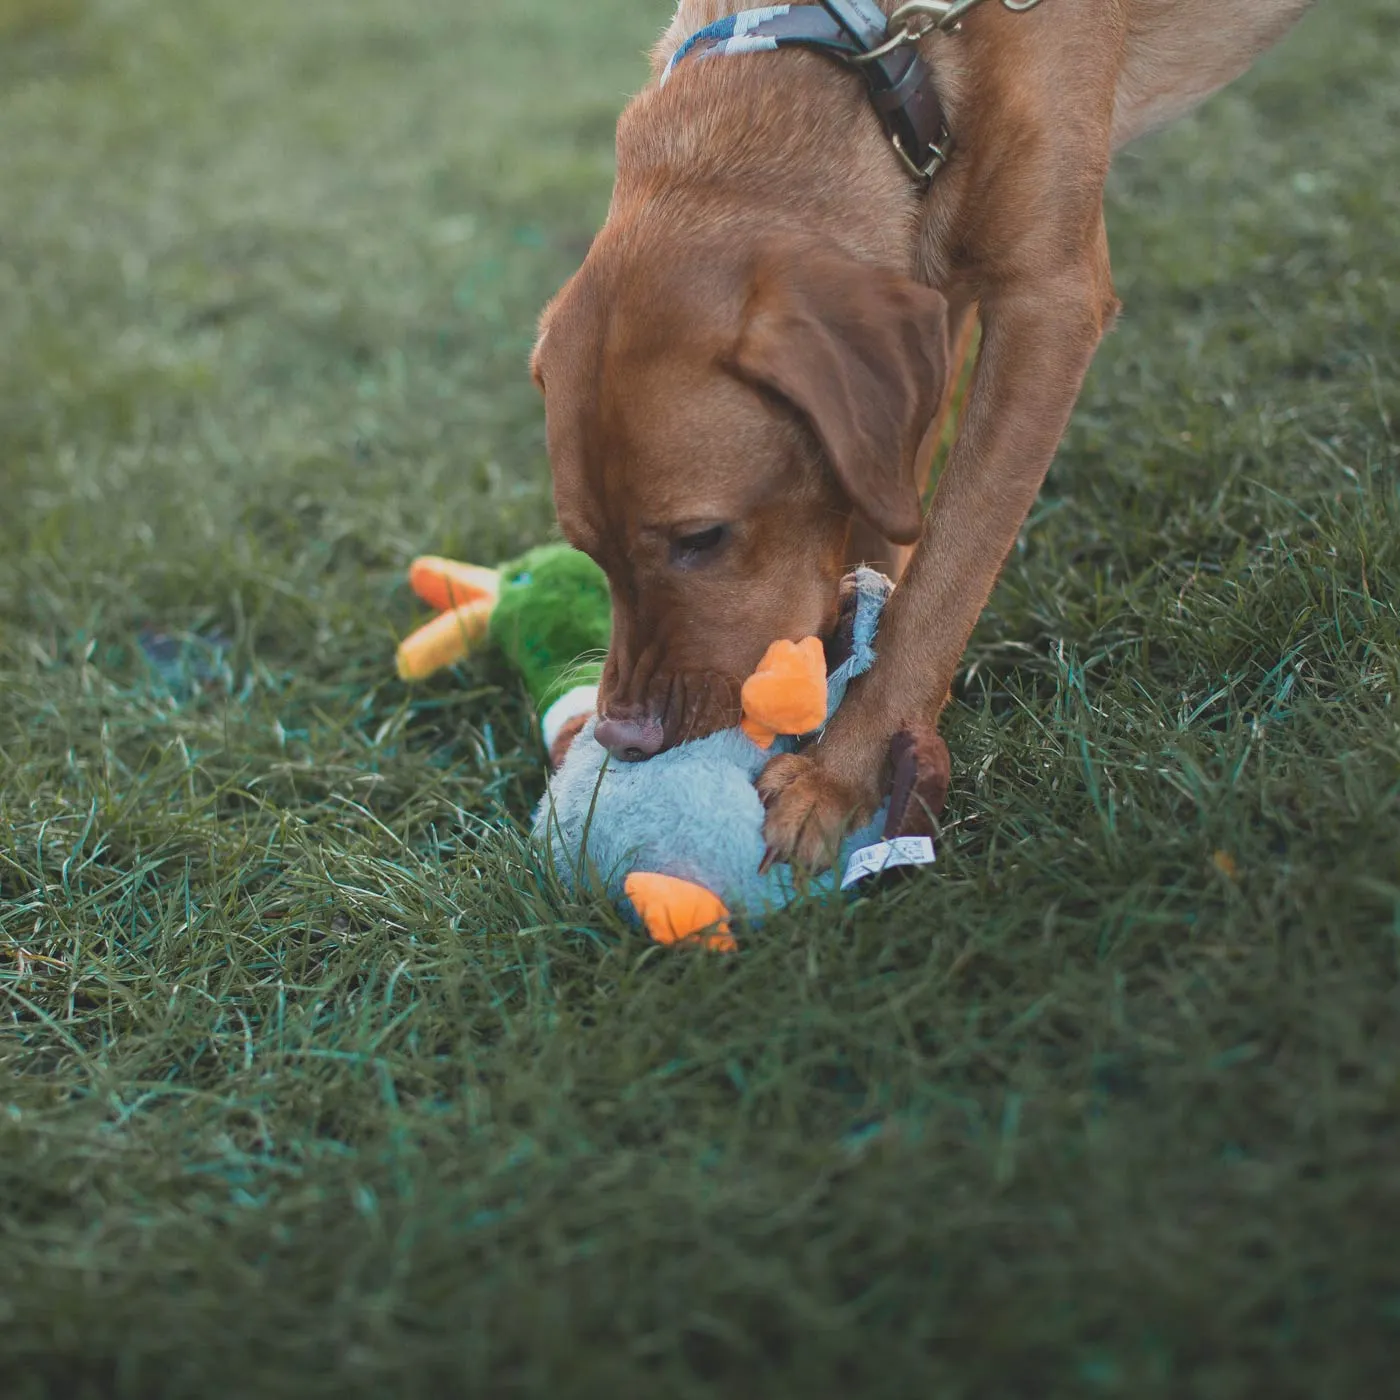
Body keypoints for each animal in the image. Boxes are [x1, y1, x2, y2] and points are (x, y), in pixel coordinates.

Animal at [529, 0, 1316, 868]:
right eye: (588, 551)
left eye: (700, 537)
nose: (621, 739)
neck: (868, 42)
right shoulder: (933, 288)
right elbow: (887, 531)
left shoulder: (1048, 305)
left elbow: (944, 579)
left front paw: (836, 777)